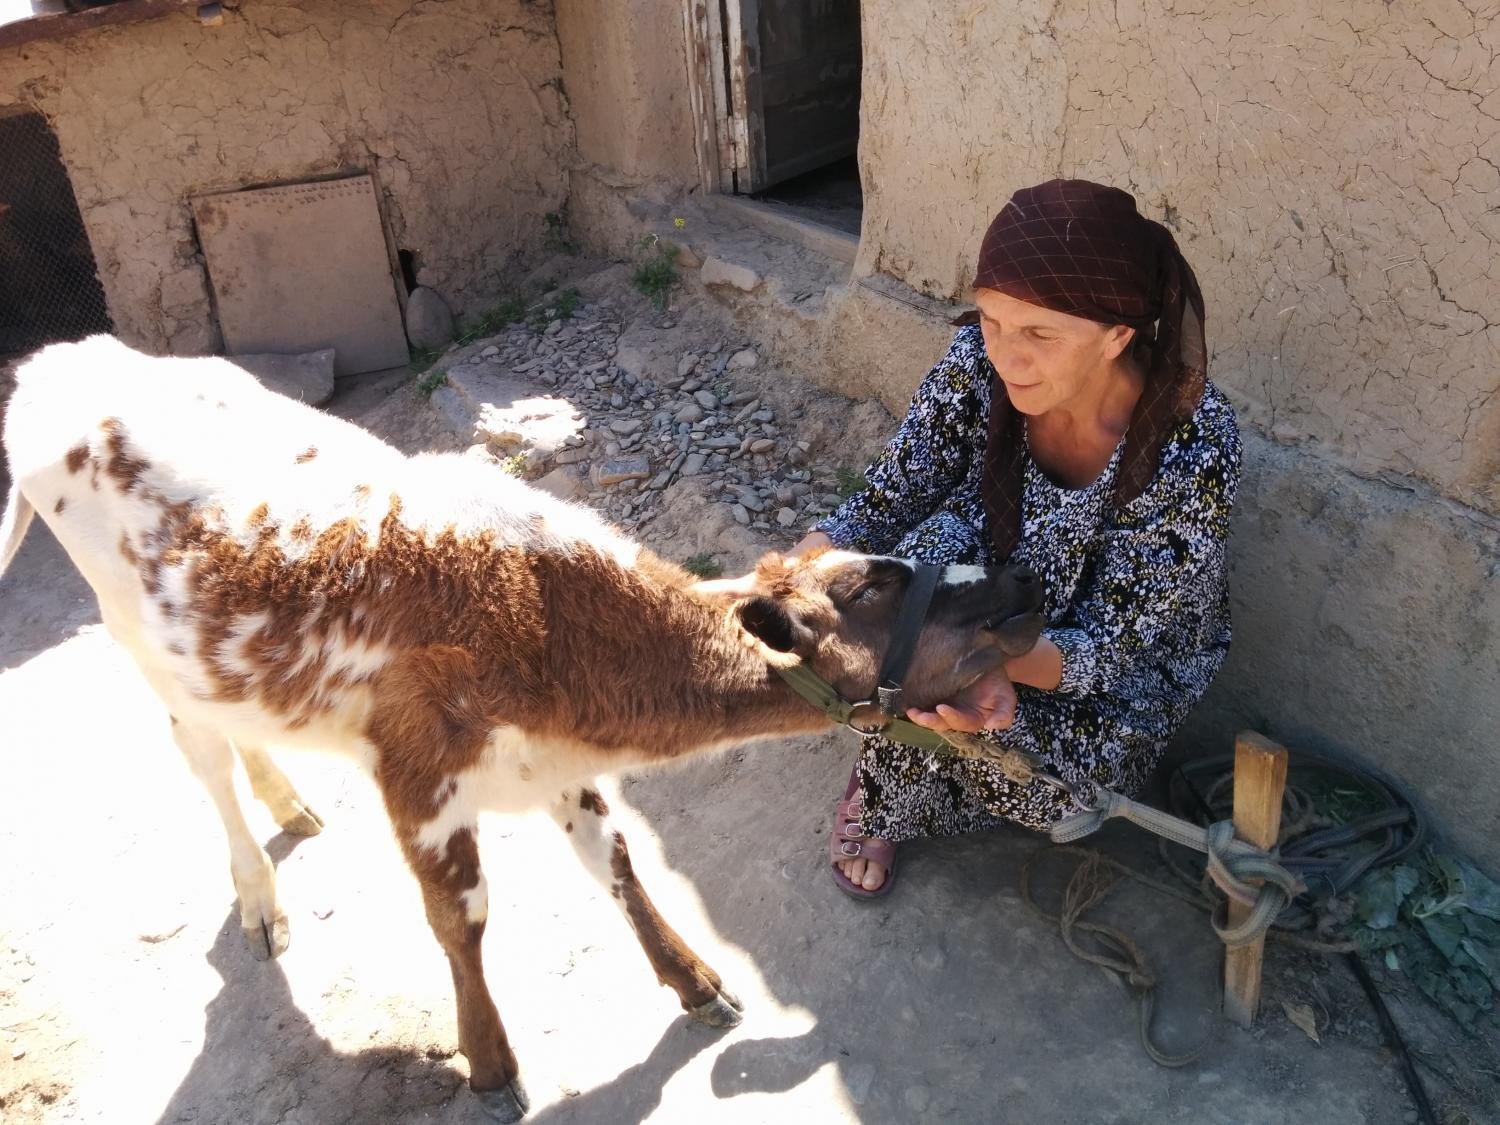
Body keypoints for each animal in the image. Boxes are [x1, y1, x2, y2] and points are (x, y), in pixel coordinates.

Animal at [2, 339, 1044, 1122]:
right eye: (868, 587)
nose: (1022, 579)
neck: (546, 619)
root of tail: (67, 357)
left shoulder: (553, 757)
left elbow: (618, 862)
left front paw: (694, 979)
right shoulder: (419, 773)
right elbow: (460, 918)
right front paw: (490, 1063)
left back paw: (290, 802)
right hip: (138, 639)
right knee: (202, 756)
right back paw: (259, 892)